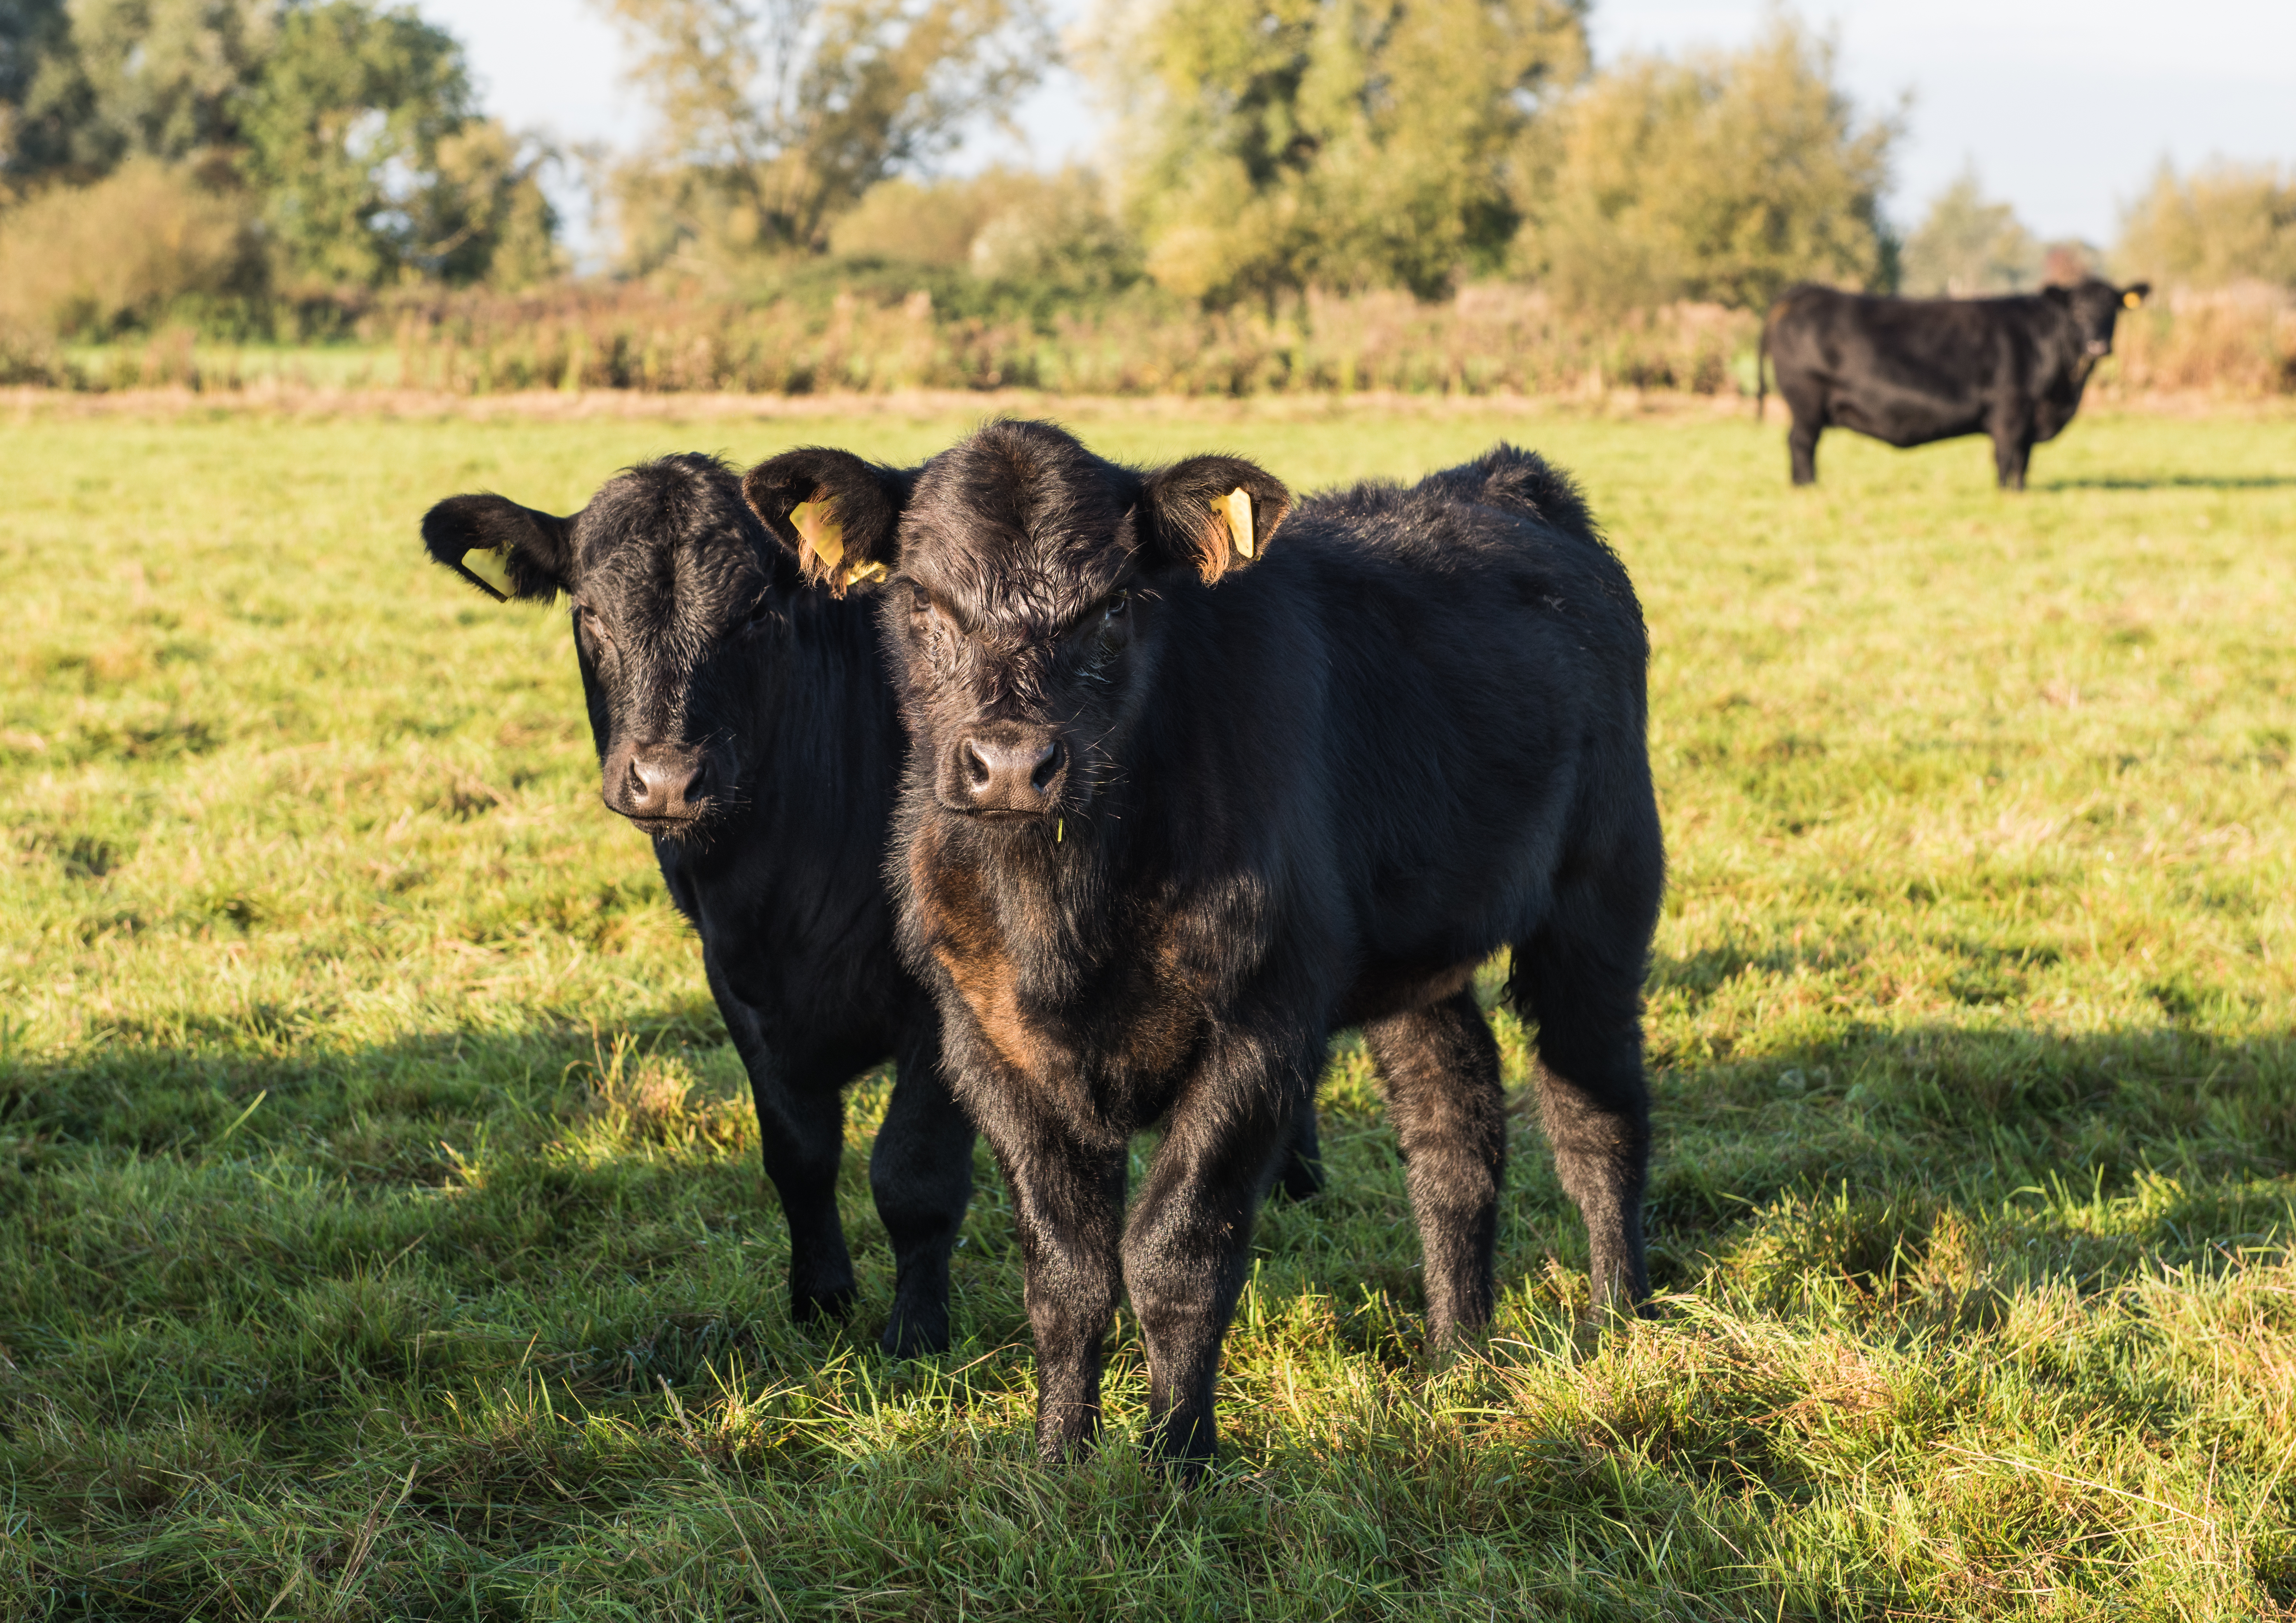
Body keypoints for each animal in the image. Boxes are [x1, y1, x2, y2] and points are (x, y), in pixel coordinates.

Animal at [422, 450, 978, 1349]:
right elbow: (798, 1155)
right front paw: (819, 1300)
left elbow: (913, 1173)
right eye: (589, 613)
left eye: (755, 612)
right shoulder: (735, 981)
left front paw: (915, 1333)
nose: (666, 779)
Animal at [744, 424, 1662, 1478]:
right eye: (923, 600)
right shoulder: (987, 1045)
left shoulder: (1260, 1030)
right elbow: (1065, 1271)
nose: (1012, 764)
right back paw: (1457, 1355)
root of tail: (1504, 477)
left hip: (1602, 894)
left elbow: (1176, 1256)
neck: (1064, 917)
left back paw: (1617, 1317)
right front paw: (1059, 1456)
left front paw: (1176, 1459)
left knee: (1596, 1111)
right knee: (1454, 1133)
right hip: (1416, 962)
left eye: (1114, 605)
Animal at [1754, 276, 2149, 489]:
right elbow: (2008, 456)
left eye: (2114, 308)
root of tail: (1803, 292)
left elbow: (2024, 460)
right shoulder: (2010, 408)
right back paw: (1807, 486)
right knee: (1801, 443)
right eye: (2077, 310)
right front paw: (2008, 494)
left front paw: (2020, 491)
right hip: (1806, 400)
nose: (2098, 344)